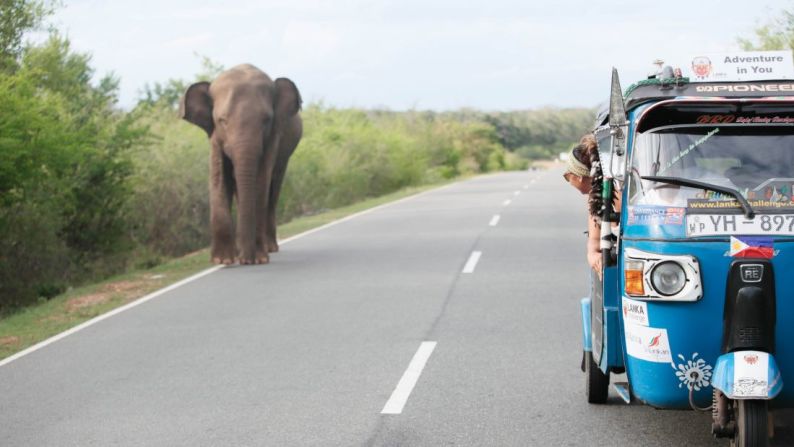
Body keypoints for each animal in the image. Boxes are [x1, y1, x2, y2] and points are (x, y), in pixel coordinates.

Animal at [179, 64, 300, 266]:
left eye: (266, 120)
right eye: (222, 120)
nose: (247, 260)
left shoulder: (273, 136)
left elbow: (261, 181)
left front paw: (258, 259)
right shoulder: (214, 137)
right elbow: (219, 178)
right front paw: (222, 260)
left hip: (286, 156)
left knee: (273, 189)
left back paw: (269, 248)